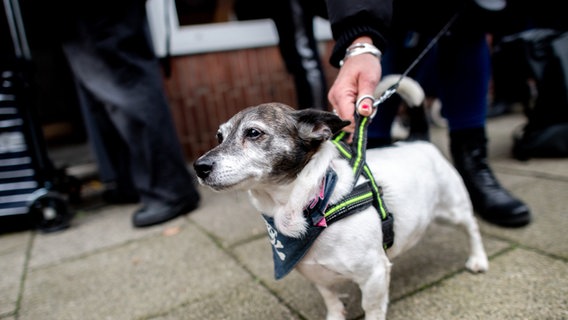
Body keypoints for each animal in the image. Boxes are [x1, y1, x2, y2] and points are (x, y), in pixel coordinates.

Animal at [193, 76, 486, 318]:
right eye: (219, 136)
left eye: (253, 133)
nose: (199, 167)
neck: (310, 205)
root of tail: (417, 140)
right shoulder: (317, 274)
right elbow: (331, 300)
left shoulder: (374, 274)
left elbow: (372, 309)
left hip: (454, 209)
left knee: (472, 227)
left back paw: (478, 259)